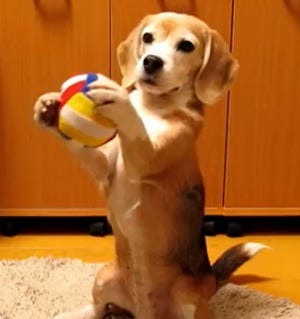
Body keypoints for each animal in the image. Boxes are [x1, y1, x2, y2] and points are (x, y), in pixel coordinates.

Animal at [33, 11, 268, 319]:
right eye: (148, 37)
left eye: (186, 45)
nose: (151, 61)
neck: (152, 106)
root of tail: (142, 311)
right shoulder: (105, 169)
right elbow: (89, 152)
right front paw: (49, 110)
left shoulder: (145, 159)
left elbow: (135, 130)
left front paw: (118, 99)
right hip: (104, 277)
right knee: (97, 310)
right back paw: (72, 314)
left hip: (187, 294)